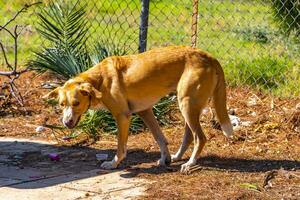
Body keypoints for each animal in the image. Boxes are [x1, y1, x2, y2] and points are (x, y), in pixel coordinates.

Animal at [43, 46, 233, 173]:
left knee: (200, 137)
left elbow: (121, 147)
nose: (66, 123)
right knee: (189, 136)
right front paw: (165, 158)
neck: (99, 80)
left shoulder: (122, 116)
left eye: (76, 103)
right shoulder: (145, 111)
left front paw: (113, 163)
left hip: (186, 105)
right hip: (187, 107)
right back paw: (178, 157)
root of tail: (208, 56)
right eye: (61, 104)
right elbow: (160, 138)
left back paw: (190, 163)